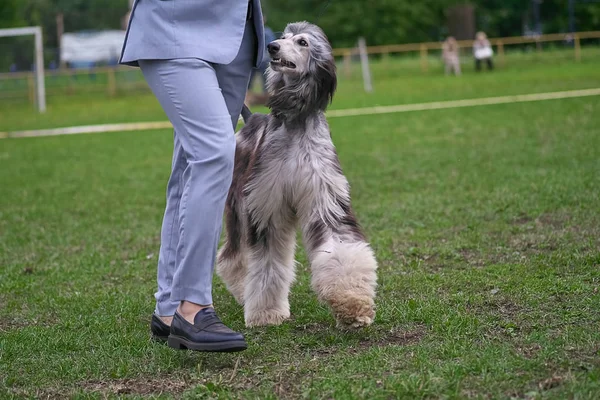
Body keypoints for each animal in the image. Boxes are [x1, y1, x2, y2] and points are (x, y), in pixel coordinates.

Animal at [216, 21, 378, 328]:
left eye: (302, 42)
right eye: (283, 37)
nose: (272, 47)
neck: (296, 124)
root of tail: (250, 120)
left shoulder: (324, 198)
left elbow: (340, 249)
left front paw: (352, 302)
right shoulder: (266, 205)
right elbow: (266, 263)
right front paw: (266, 313)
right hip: (237, 203)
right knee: (234, 257)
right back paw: (242, 291)